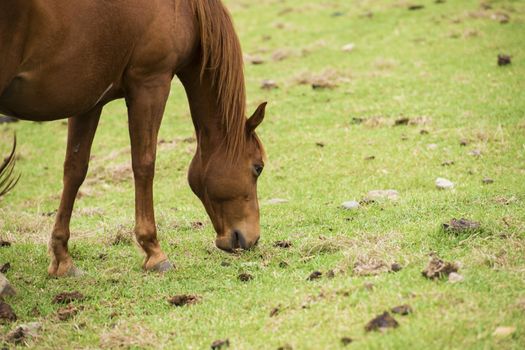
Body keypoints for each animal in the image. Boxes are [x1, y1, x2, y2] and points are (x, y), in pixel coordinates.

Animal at [0, 1, 268, 278]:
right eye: (258, 167)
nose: (253, 239)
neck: (186, 11)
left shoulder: (88, 101)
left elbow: (74, 171)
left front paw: (62, 258)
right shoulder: (150, 83)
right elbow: (144, 164)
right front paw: (154, 252)